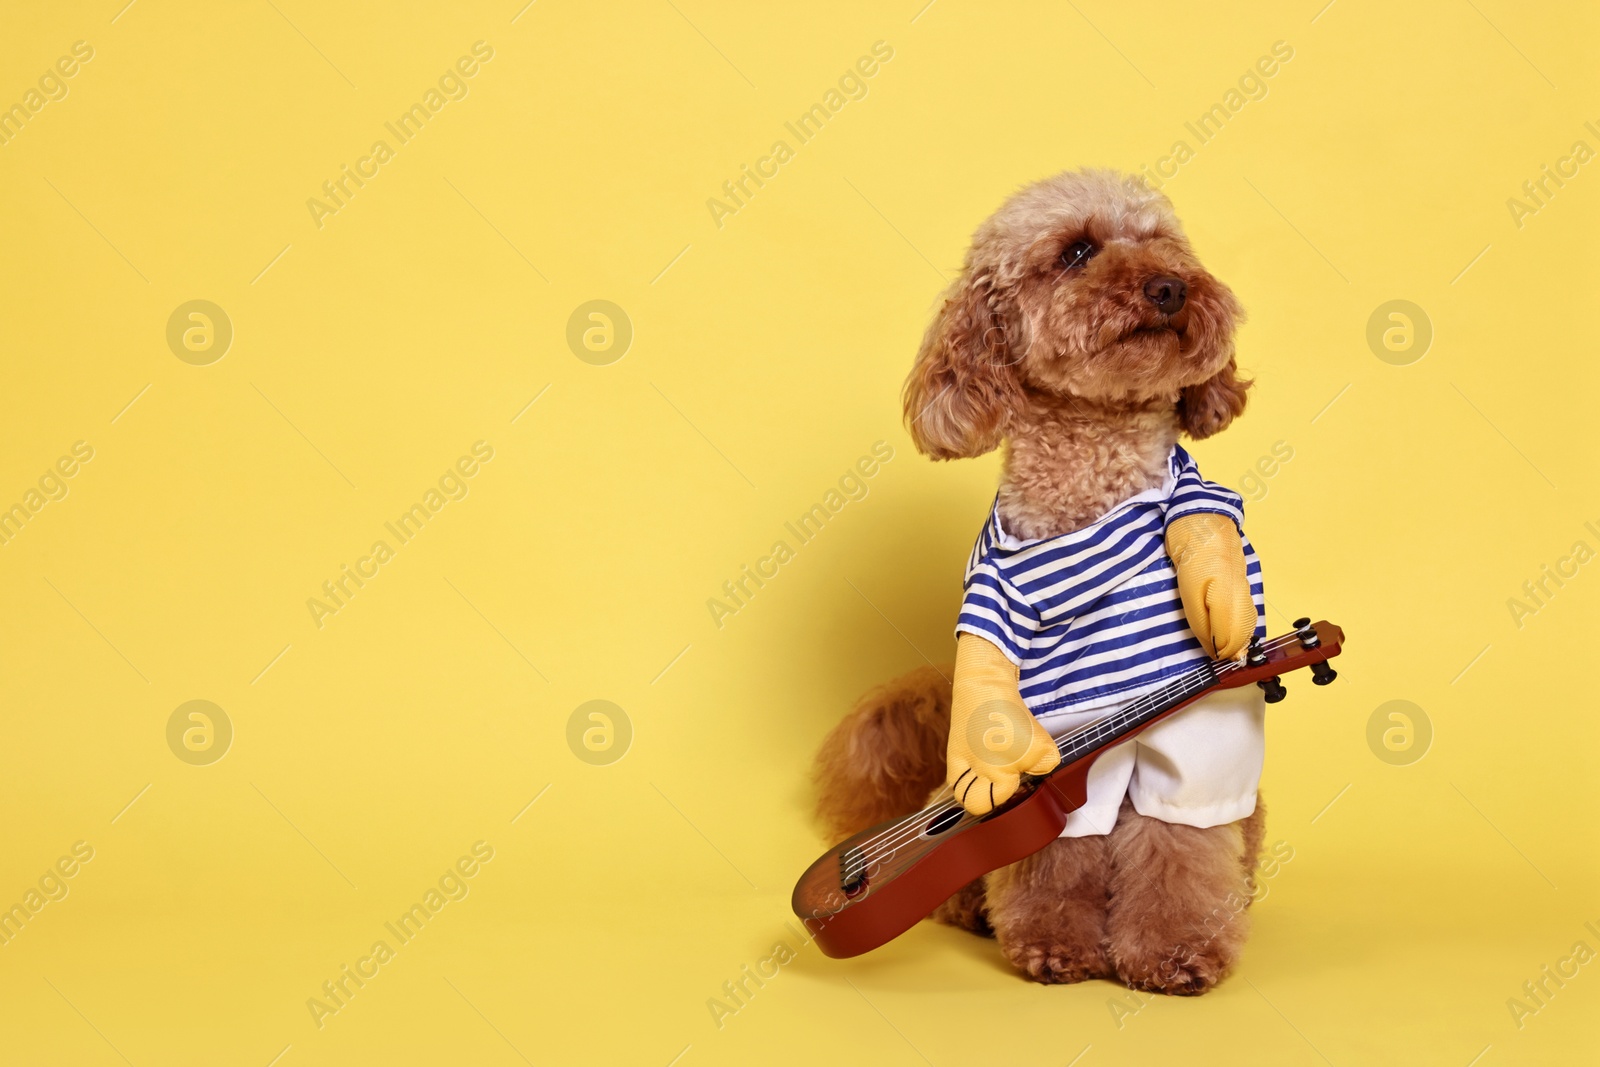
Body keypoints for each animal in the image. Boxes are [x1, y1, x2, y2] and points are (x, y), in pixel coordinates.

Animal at [819, 167, 1267, 991]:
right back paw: (967, 902)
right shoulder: (1040, 719)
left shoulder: (1194, 726)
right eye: (1077, 251)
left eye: (1162, 243)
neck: (1094, 456)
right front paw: (1056, 944)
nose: (1169, 287)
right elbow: (1051, 848)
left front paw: (1176, 948)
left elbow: (1178, 845)